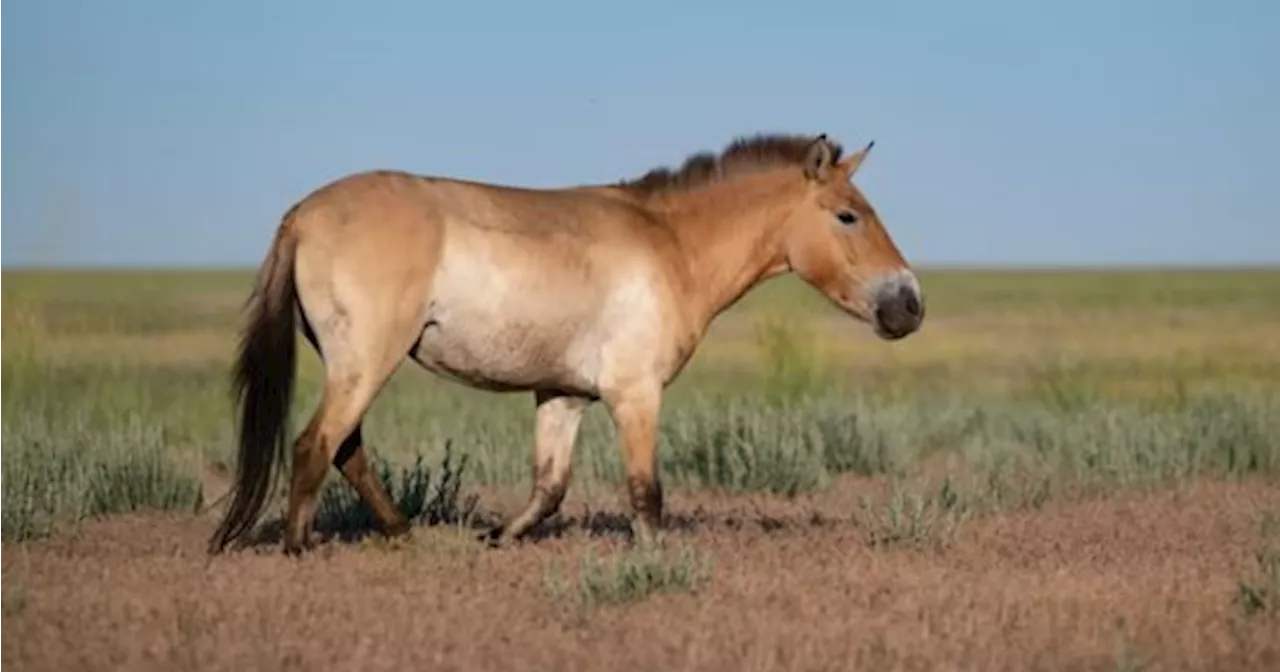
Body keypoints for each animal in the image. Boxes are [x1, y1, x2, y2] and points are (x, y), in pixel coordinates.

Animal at [212, 131, 931, 555]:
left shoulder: (563, 394)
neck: (671, 245)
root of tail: (303, 213)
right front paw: (656, 564)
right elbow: (645, 492)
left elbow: (549, 487)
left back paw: (401, 532)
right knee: (317, 445)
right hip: (365, 361)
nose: (910, 304)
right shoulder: (634, 395)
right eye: (848, 216)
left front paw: (496, 538)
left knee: (345, 449)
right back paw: (300, 549)